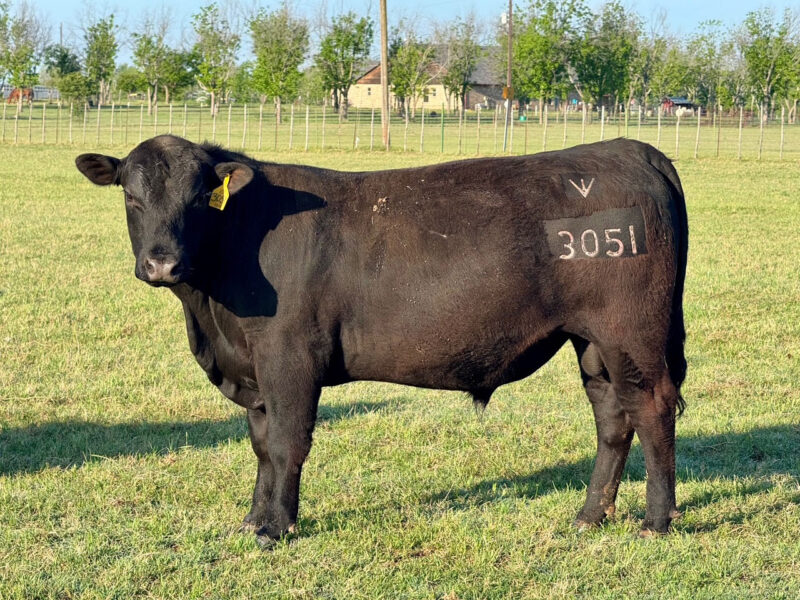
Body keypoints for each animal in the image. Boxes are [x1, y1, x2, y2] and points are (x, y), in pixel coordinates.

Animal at [75, 135, 688, 545]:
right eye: (131, 196)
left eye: (199, 198)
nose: (162, 262)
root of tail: (628, 148)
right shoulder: (253, 369)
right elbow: (261, 444)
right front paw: (253, 518)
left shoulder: (289, 357)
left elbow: (287, 443)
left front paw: (277, 528)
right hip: (593, 344)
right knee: (613, 418)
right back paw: (590, 515)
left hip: (632, 333)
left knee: (653, 410)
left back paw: (656, 521)